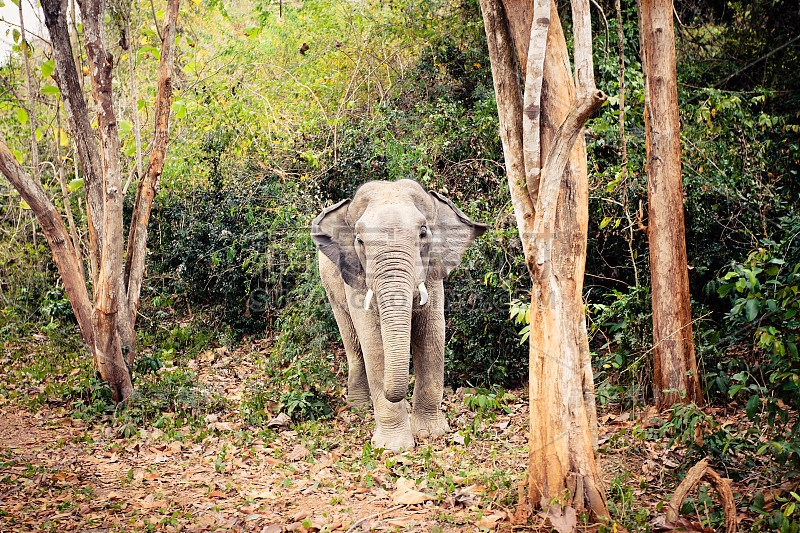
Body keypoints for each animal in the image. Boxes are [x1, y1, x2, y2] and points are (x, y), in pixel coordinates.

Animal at [310, 178, 488, 448]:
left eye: (423, 233)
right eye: (359, 241)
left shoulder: (432, 270)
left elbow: (431, 334)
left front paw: (431, 434)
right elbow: (374, 343)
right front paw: (392, 447)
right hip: (329, 284)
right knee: (353, 343)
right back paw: (359, 408)